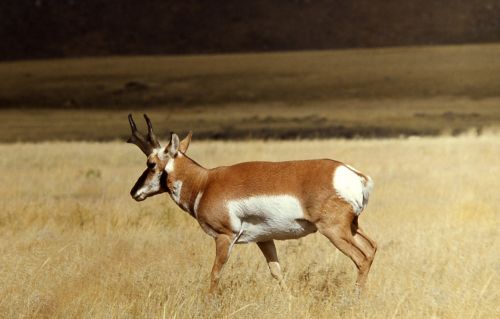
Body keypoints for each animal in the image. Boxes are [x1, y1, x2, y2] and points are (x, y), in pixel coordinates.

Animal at [127, 114, 376, 294]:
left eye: (151, 163)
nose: (134, 192)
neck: (204, 182)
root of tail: (354, 174)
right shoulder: (264, 239)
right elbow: (276, 272)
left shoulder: (224, 237)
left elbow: (215, 273)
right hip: (352, 228)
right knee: (371, 249)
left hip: (333, 231)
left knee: (361, 258)